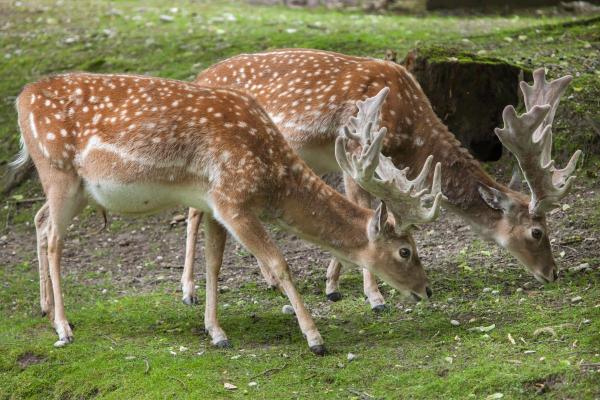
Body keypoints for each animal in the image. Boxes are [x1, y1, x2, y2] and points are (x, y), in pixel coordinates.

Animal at [14, 72, 440, 354]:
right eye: (406, 250)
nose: (426, 290)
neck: (271, 176)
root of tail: (21, 98)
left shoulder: (212, 202)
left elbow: (214, 264)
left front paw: (216, 332)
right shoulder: (234, 201)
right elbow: (280, 263)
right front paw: (315, 337)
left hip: (76, 189)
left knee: (40, 221)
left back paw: (45, 307)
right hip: (57, 170)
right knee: (54, 240)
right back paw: (63, 327)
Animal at [183, 49, 580, 310]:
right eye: (537, 232)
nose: (553, 273)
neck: (410, 131)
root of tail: (198, 77)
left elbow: (366, 213)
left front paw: (333, 285)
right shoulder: (357, 151)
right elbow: (364, 210)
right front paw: (373, 296)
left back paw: (266, 279)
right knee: (194, 212)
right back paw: (188, 291)